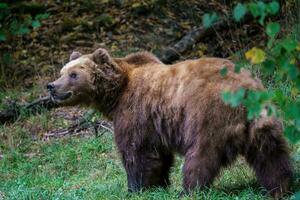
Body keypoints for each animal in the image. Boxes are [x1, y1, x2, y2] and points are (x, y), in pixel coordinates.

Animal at [47, 47, 292, 198]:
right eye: (62, 71)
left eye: (74, 74)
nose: (51, 86)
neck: (115, 95)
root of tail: (247, 90)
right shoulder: (154, 125)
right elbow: (158, 156)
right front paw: (158, 184)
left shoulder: (135, 113)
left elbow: (137, 152)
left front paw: (135, 188)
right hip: (264, 120)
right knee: (271, 154)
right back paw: (281, 187)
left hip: (208, 115)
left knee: (201, 157)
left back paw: (188, 191)